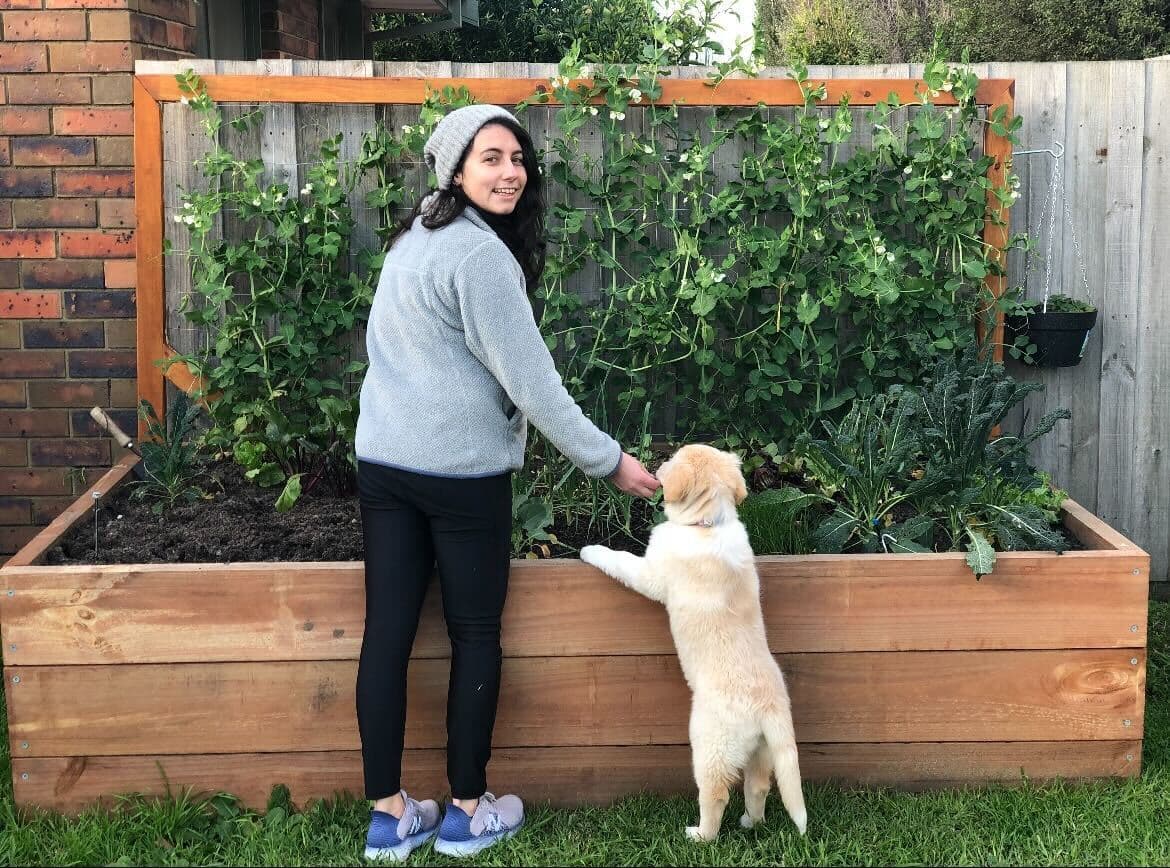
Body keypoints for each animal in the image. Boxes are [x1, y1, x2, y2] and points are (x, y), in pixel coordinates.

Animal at [582, 444, 809, 837]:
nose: (656, 468)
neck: (708, 524)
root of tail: (770, 708)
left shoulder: (651, 573)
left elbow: (623, 561)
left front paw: (592, 550)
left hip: (710, 744)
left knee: (716, 793)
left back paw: (701, 835)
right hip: (762, 749)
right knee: (758, 786)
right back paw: (750, 822)